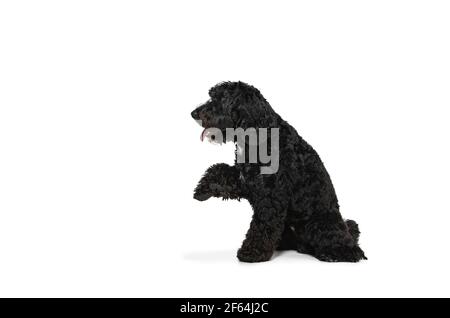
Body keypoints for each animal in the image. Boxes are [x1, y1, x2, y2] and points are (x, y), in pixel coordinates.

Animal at [191, 82, 366, 264]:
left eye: (221, 98)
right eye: (212, 96)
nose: (193, 113)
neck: (260, 135)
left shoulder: (271, 195)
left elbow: (262, 226)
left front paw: (252, 252)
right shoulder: (246, 181)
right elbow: (219, 170)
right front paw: (201, 190)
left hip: (319, 224)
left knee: (349, 248)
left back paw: (334, 253)